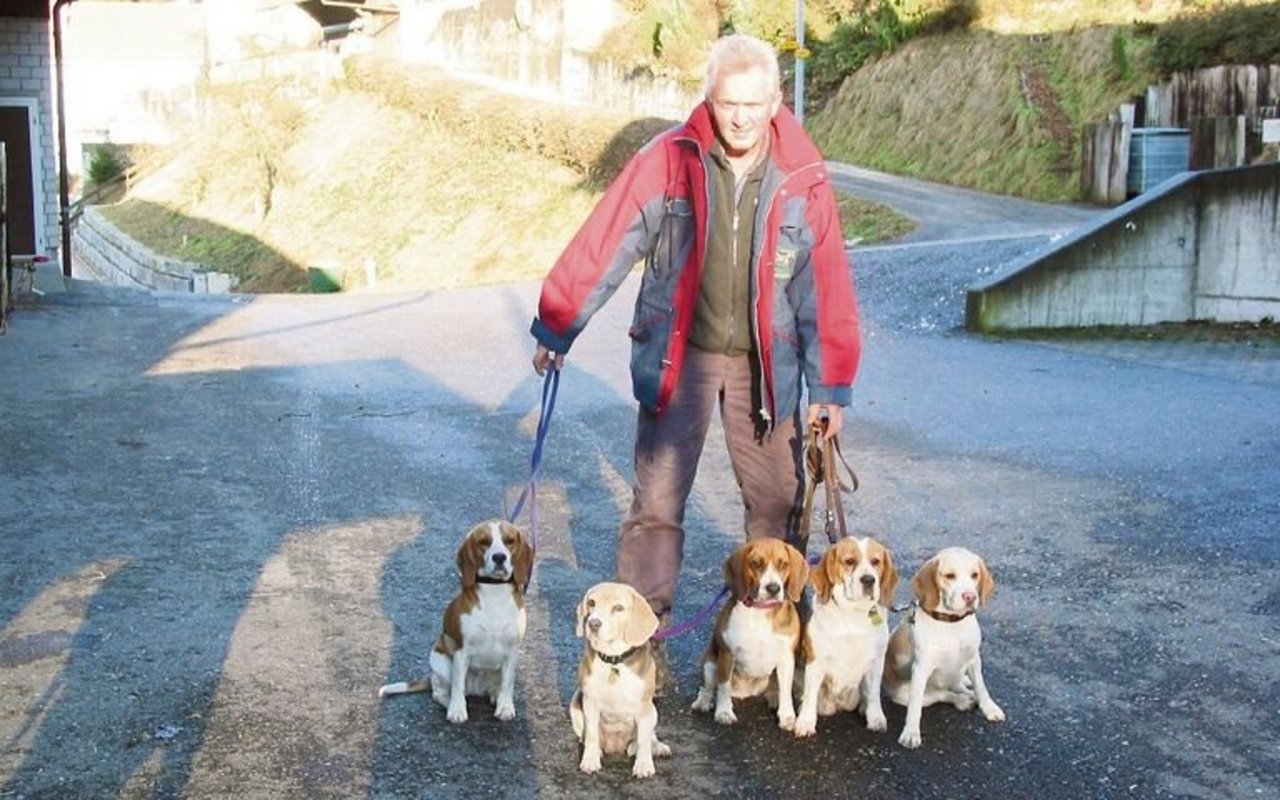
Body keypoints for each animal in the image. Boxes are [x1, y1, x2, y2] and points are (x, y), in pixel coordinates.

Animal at [373, 522, 529, 721]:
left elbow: (507, 684)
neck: (494, 592)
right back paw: (451, 704)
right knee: (441, 693)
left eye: (509, 540)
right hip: (440, 661)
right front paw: (457, 711)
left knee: (495, 687)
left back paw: (495, 696)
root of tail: (476, 690)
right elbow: (457, 685)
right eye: (483, 542)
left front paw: (505, 707)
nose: (499, 557)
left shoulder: (512, 652)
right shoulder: (461, 651)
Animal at [570, 581, 670, 778]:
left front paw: (644, 765)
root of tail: (615, 746)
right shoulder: (590, 703)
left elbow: (644, 741)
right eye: (591, 603)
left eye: (618, 608)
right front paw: (590, 760)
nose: (593, 624)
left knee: (649, 737)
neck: (614, 660)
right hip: (576, 705)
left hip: (653, 711)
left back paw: (658, 747)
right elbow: (592, 735)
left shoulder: (644, 707)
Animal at [691, 537, 808, 732]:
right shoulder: (727, 654)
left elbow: (785, 691)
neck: (761, 611)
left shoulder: (786, 658)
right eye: (756, 563)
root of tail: (746, 693)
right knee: (708, 688)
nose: (773, 588)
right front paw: (724, 712)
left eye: (783, 564)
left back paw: (773, 698)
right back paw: (703, 701)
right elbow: (723, 686)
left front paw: (787, 716)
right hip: (709, 663)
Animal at [793, 532, 896, 737]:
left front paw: (875, 718)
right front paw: (806, 722)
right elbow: (810, 695)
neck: (853, 613)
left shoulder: (876, 662)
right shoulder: (816, 661)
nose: (868, 580)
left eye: (875, 561)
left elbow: (874, 695)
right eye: (849, 561)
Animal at [885, 545, 1003, 747]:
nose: (970, 597)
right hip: (906, 694)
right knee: (943, 695)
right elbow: (915, 707)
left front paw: (989, 707)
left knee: (959, 686)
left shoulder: (974, 659)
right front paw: (911, 732)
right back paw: (963, 700)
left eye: (975, 575)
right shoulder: (921, 669)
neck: (951, 623)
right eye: (949, 575)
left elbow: (981, 687)